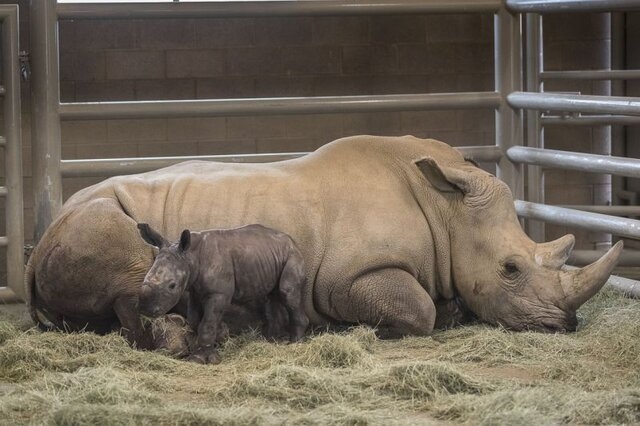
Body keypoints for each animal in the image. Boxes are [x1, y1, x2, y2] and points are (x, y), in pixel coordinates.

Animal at [26, 135, 624, 344]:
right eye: (510, 269)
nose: (564, 326)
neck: (447, 210)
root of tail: (33, 250)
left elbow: (438, 305)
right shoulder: (346, 278)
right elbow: (419, 310)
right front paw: (366, 330)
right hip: (93, 222)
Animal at [136, 221, 308, 364]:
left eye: (172, 286)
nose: (146, 309)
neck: (190, 256)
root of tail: (292, 241)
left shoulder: (218, 293)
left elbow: (207, 323)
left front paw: (202, 359)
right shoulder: (195, 292)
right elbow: (194, 321)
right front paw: (220, 335)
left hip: (292, 255)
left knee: (287, 293)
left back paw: (295, 344)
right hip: (270, 255)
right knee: (272, 296)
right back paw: (271, 342)